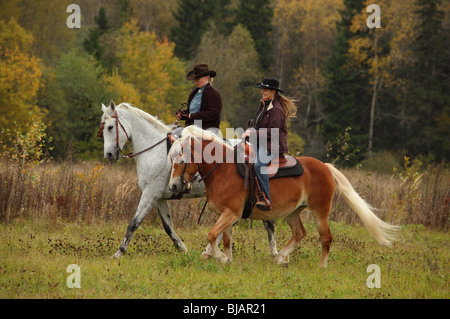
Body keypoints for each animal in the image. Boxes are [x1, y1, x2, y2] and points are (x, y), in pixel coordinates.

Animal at [99, 102, 278, 260]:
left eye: (110, 127)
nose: (109, 155)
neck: (154, 150)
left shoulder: (150, 195)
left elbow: (134, 223)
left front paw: (119, 252)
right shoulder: (159, 198)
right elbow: (168, 227)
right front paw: (183, 250)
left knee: (263, 222)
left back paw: (273, 254)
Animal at [168, 126, 398, 266]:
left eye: (181, 160)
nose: (172, 186)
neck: (223, 170)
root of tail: (325, 167)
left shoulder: (231, 213)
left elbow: (211, 235)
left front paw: (220, 258)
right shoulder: (226, 215)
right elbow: (225, 239)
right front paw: (228, 259)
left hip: (320, 211)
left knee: (326, 237)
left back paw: (321, 266)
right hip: (293, 212)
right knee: (300, 233)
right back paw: (281, 257)